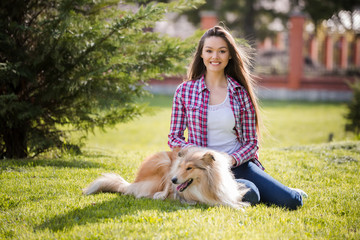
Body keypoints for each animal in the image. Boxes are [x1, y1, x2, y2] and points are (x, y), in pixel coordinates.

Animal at [83, 146, 249, 208]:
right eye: (180, 167)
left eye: (189, 168)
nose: (173, 180)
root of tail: (133, 183)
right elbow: (221, 203)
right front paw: (239, 207)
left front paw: (241, 204)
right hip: (163, 162)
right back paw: (160, 195)